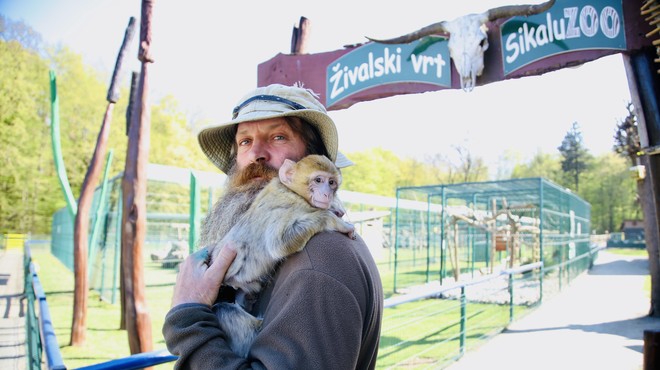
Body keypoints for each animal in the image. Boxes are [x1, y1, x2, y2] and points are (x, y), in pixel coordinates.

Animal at [210, 155, 356, 356]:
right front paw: (333, 218)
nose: (327, 194)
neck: (291, 190)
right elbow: (278, 245)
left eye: (332, 183)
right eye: (319, 180)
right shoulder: (287, 206)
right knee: (222, 310)